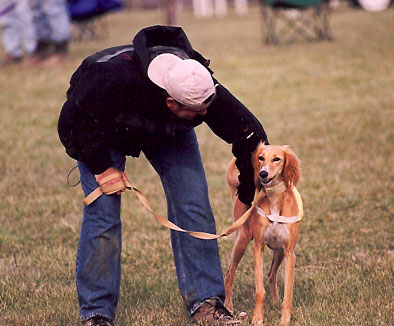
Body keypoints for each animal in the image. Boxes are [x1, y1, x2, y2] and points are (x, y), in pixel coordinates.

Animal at [225, 143, 302, 326]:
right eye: (261, 157)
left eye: (277, 158)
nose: (263, 174)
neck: (274, 199)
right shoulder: (257, 247)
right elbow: (259, 291)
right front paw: (257, 318)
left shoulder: (289, 253)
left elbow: (288, 292)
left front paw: (285, 319)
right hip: (242, 240)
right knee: (229, 274)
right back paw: (228, 306)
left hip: (279, 252)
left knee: (271, 274)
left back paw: (275, 302)